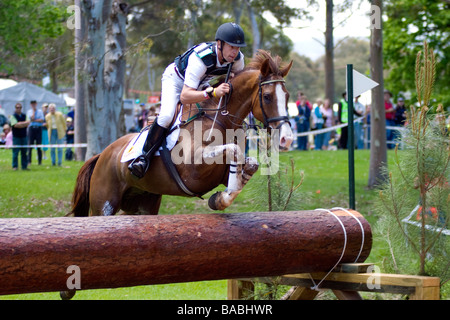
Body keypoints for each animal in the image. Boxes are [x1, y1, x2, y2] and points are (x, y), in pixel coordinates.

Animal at [71, 50, 294, 218]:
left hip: (142, 203)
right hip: (104, 204)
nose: (287, 138)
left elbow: (248, 164)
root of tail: (102, 155)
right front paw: (221, 199)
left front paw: (222, 196)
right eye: (267, 96)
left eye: (287, 96)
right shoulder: (194, 167)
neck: (219, 120)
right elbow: (233, 151)